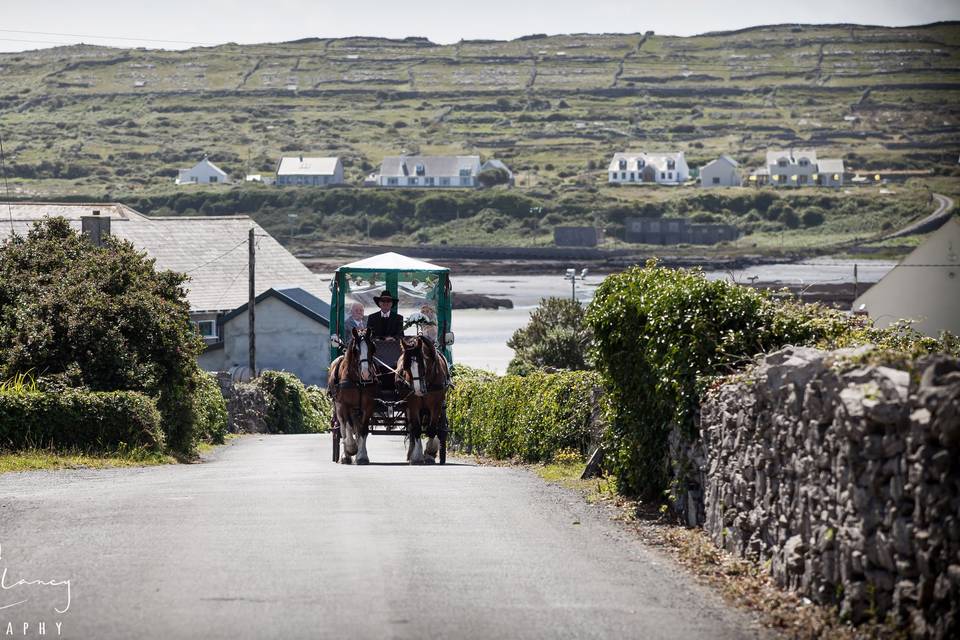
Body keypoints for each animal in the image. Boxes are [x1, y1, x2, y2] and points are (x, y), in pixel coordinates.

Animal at [328, 330, 376, 464]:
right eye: (355, 350)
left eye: (372, 348)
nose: (366, 374)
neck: (357, 381)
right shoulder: (345, 405)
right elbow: (348, 427)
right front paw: (351, 449)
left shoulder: (368, 406)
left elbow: (363, 430)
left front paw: (362, 456)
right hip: (338, 406)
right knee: (343, 427)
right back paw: (346, 455)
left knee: (357, 428)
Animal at [396, 336, 448, 464]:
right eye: (405, 367)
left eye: (423, 364)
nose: (418, 390)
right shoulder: (413, 405)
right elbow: (417, 428)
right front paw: (417, 456)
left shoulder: (437, 404)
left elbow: (432, 429)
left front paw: (429, 453)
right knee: (411, 427)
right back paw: (411, 451)